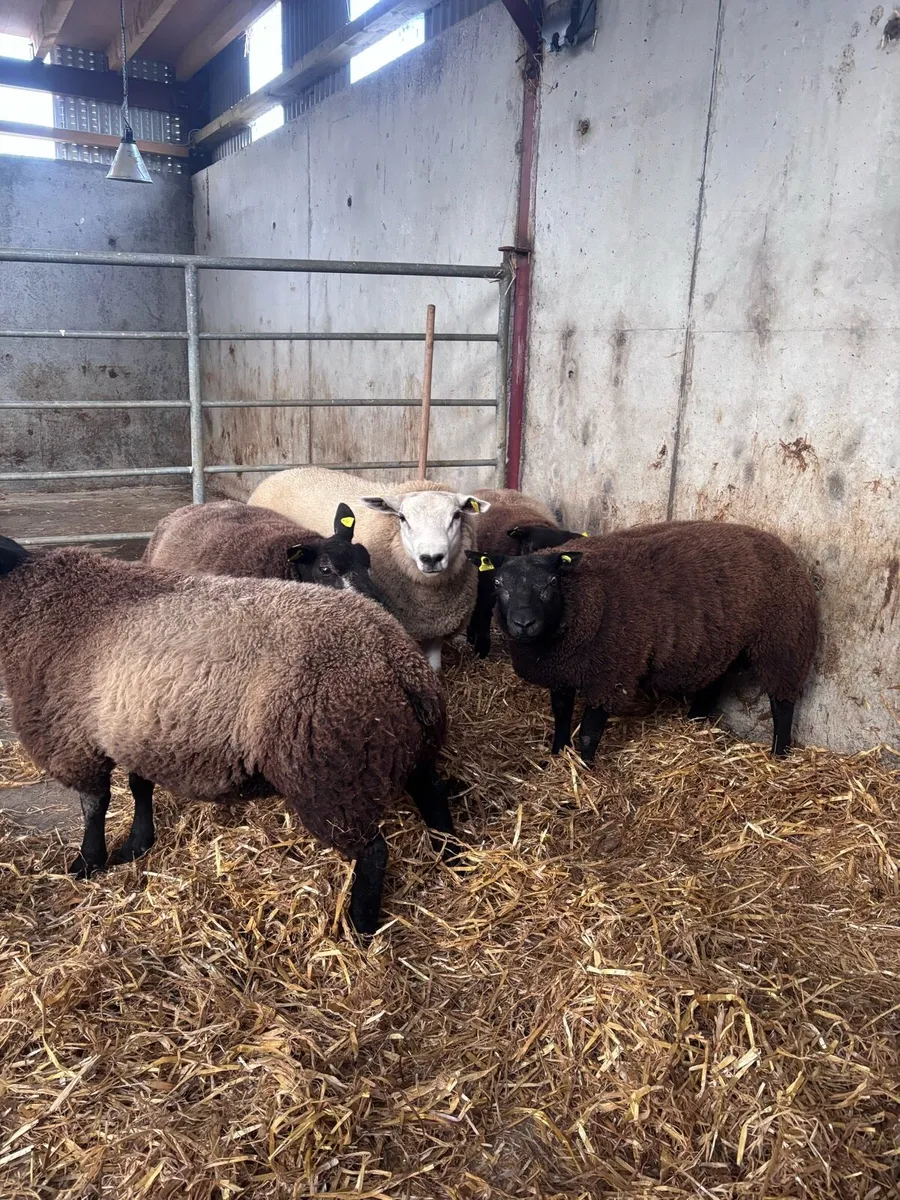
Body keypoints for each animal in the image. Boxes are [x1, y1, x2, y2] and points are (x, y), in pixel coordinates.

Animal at [0, 535, 461, 936]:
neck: (29, 598)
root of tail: (392, 651)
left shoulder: (69, 736)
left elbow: (94, 806)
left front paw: (87, 863)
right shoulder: (138, 728)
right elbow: (138, 787)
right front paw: (136, 844)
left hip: (332, 773)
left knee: (373, 852)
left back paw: (359, 928)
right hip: (406, 747)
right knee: (433, 795)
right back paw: (452, 857)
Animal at [248, 467, 490, 672]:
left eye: (456, 515)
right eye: (402, 518)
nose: (431, 558)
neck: (429, 603)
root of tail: (285, 471)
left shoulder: (437, 630)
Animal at [467, 520, 818, 762]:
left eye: (552, 582)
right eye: (498, 584)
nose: (523, 623)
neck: (581, 600)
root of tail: (779, 545)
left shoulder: (611, 675)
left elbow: (589, 733)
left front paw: (584, 769)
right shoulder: (562, 671)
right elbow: (562, 715)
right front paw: (557, 755)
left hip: (784, 641)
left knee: (782, 703)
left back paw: (779, 755)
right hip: (720, 645)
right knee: (712, 686)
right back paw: (695, 723)